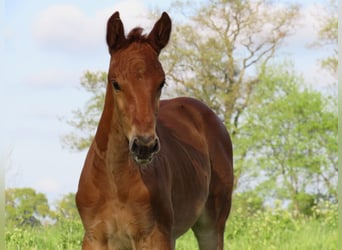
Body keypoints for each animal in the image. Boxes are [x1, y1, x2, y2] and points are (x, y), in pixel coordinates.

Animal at [76, 10, 234, 249]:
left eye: (161, 83)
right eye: (116, 83)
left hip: (211, 226)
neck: (115, 182)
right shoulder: (94, 237)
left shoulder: (155, 237)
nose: (144, 145)